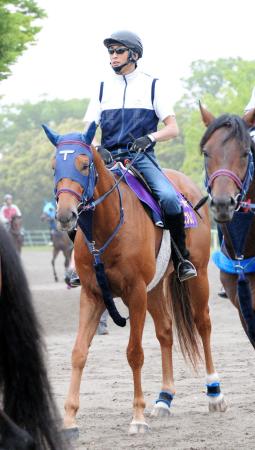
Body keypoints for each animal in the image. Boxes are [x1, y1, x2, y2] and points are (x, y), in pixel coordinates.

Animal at [42, 122, 227, 436]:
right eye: (55, 166)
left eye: (84, 164)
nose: (66, 214)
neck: (107, 228)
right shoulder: (92, 295)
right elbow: (78, 352)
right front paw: (69, 420)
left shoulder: (135, 292)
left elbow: (134, 353)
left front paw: (137, 417)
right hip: (154, 289)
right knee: (166, 331)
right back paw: (164, 399)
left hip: (197, 277)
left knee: (203, 324)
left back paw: (214, 393)